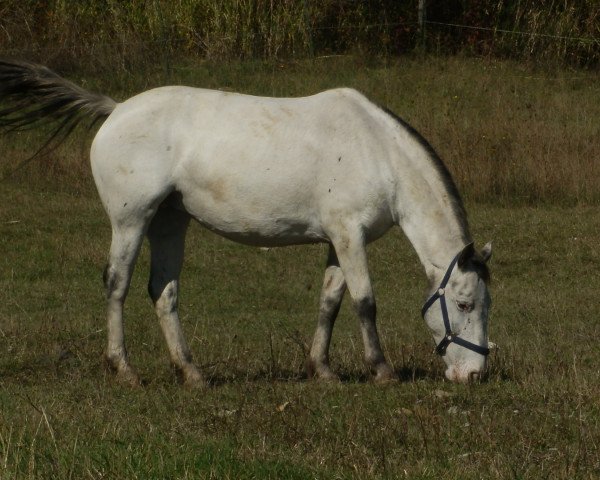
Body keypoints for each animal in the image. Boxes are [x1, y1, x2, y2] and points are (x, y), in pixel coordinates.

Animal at [0, 59, 492, 386]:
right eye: (465, 304)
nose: (473, 374)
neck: (377, 151)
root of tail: (115, 108)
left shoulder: (337, 239)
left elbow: (330, 301)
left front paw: (322, 370)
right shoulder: (350, 235)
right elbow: (364, 301)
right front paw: (382, 371)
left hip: (168, 221)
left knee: (163, 291)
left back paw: (192, 373)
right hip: (131, 221)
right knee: (117, 284)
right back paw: (124, 370)